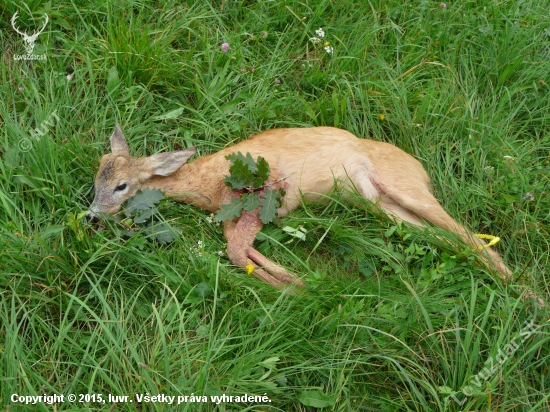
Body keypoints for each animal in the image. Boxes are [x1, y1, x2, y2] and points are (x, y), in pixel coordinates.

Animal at [87, 125, 512, 290]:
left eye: (121, 185)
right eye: (95, 181)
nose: (91, 215)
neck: (205, 182)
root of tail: (420, 167)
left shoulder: (268, 191)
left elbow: (235, 249)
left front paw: (294, 284)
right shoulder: (235, 214)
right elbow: (238, 248)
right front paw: (294, 281)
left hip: (405, 187)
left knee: (468, 235)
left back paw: (518, 289)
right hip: (383, 204)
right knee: (451, 237)